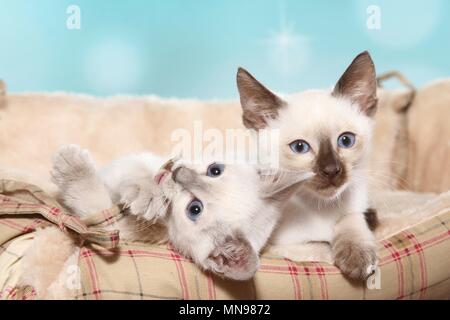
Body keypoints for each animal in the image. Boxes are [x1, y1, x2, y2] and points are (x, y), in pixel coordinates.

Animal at [51, 145, 312, 280]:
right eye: (215, 170)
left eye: (194, 209)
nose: (178, 174)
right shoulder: (145, 161)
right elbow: (137, 170)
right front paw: (147, 193)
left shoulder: (118, 230)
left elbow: (94, 202)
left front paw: (71, 167)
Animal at [239, 51, 380, 278]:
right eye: (300, 147)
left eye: (346, 140)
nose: (331, 170)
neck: (321, 207)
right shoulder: (268, 250)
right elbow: (322, 248)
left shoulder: (353, 209)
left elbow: (352, 222)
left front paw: (357, 255)